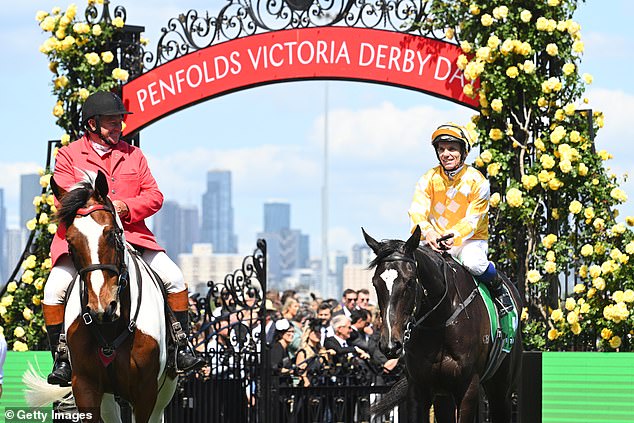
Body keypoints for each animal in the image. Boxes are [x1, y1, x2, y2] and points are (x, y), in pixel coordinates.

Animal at [24, 171, 175, 422]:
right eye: (70, 241)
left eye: (112, 234)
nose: (102, 308)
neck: (112, 327)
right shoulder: (86, 386)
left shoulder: (146, 392)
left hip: (165, 390)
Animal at [362, 227, 520, 422]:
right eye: (375, 283)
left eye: (409, 281)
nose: (390, 344)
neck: (439, 323)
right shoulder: (420, 388)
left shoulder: (468, 386)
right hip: (444, 395)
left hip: (501, 387)